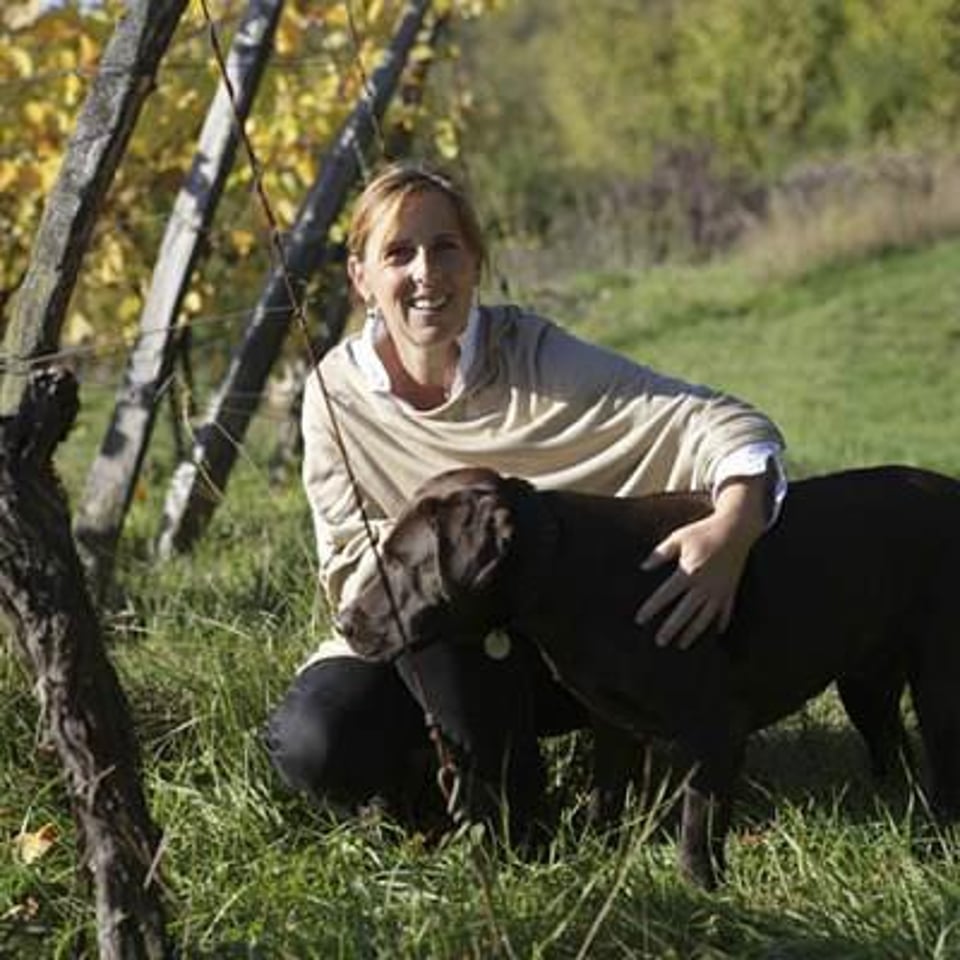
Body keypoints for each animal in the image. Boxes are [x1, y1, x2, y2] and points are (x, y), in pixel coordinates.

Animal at [337, 465, 960, 888]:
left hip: (938, 682)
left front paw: (700, 891)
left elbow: (697, 821)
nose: (344, 622)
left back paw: (937, 842)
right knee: (894, 749)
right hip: (866, 682)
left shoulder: (715, 729)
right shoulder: (612, 724)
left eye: (399, 562)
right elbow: (606, 798)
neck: (562, 568)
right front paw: (600, 860)